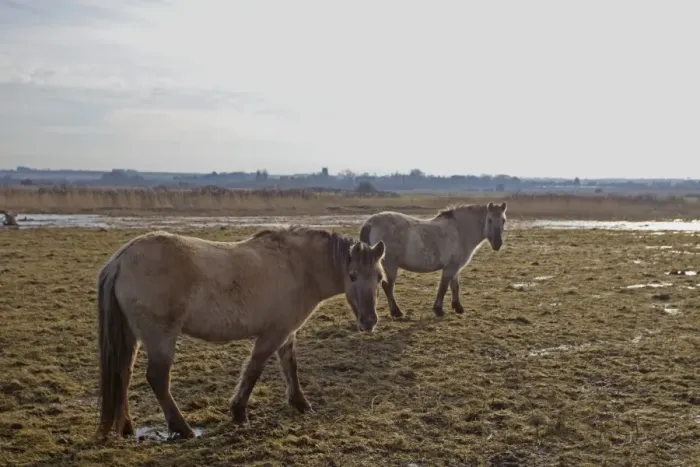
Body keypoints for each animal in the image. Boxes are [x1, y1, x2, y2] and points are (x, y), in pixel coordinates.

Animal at [95, 226, 386, 440]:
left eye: (380, 278)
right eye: (352, 275)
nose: (369, 321)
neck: (297, 266)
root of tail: (121, 260)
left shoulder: (287, 333)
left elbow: (290, 367)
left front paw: (301, 404)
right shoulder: (274, 333)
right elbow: (254, 369)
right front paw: (239, 413)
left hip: (132, 338)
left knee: (123, 374)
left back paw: (126, 427)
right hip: (161, 338)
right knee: (157, 378)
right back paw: (183, 429)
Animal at [359, 202, 507, 317]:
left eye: (503, 220)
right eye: (489, 220)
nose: (497, 244)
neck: (459, 231)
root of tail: (370, 222)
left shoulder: (455, 267)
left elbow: (455, 286)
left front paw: (458, 307)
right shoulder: (450, 268)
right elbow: (443, 287)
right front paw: (438, 310)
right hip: (390, 265)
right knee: (388, 287)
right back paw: (396, 312)